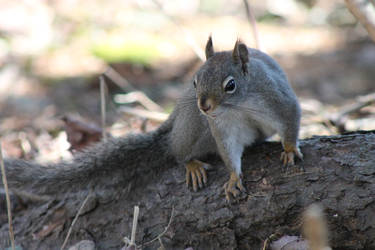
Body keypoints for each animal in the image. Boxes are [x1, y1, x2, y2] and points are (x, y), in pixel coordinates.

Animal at [1, 36, 304, 201]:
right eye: (195, 81)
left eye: (230, 85)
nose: (204, 106)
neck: (237, 107)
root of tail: (175, 119)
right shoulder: (222, 127)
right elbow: (229, 151)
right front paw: (232, 178)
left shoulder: (278, 100)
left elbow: (291, 121)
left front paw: (290, 149)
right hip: (192, 125)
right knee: (178, 152)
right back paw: (191, 163)